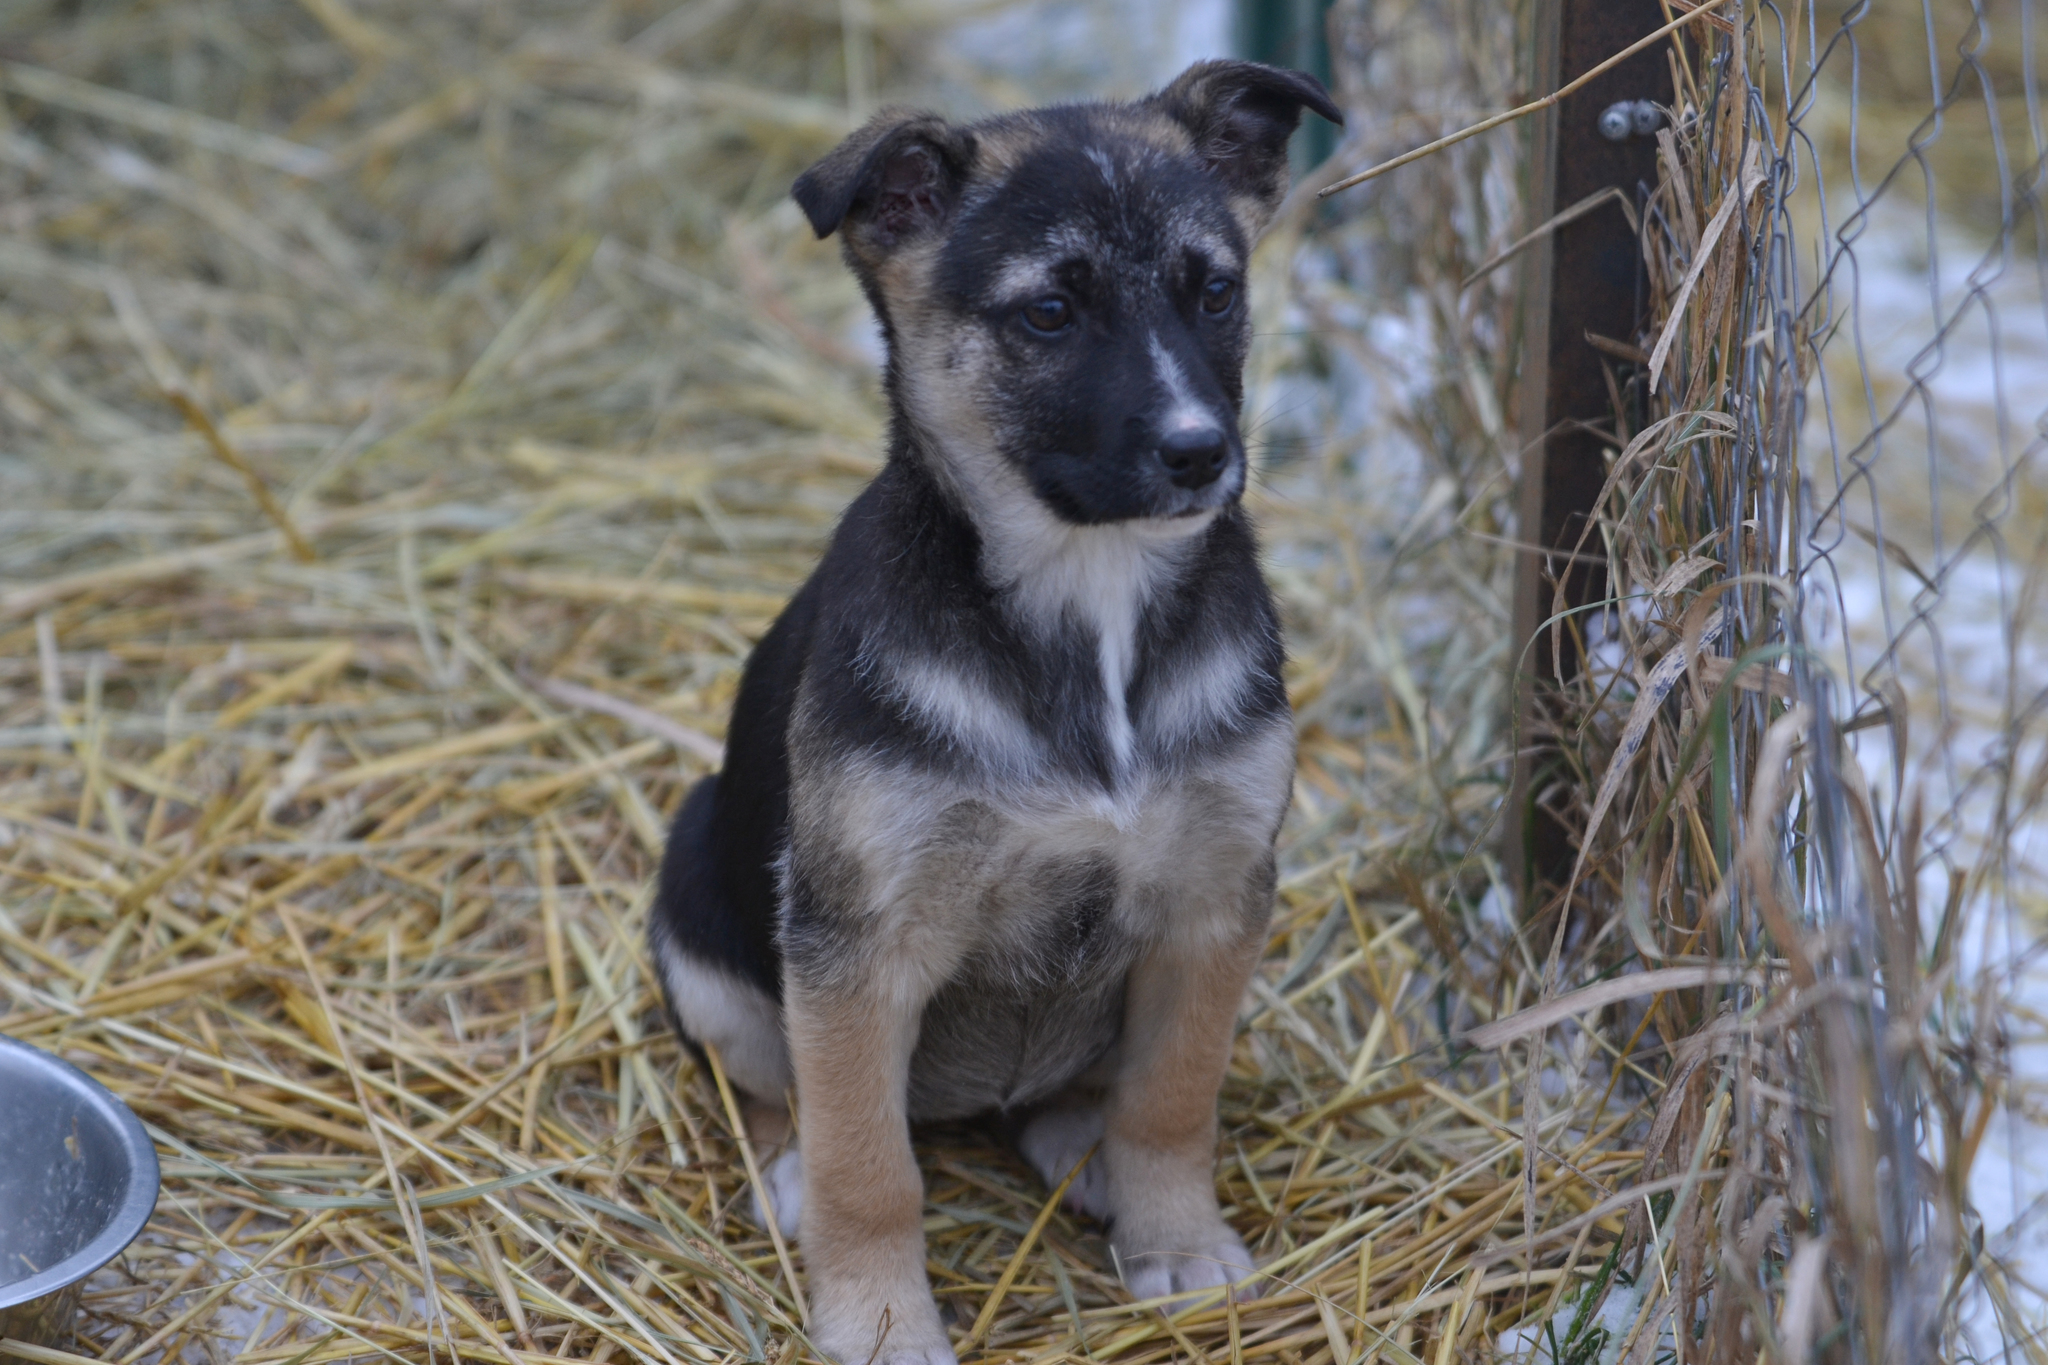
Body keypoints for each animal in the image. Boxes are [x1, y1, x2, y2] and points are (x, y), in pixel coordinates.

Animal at [647, 61, 1335, 1365]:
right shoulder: (858, 945)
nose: (1200, 453)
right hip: (696, 910)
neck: (1086, 599)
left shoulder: (1213, 897)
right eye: (1049, 314)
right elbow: (871, 1164)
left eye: (1215, 292)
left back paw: (1084, 1148)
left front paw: (1175, 1244)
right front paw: (876, 1318)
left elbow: (1171, 1100)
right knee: (769, 1089)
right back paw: (792, 1176)